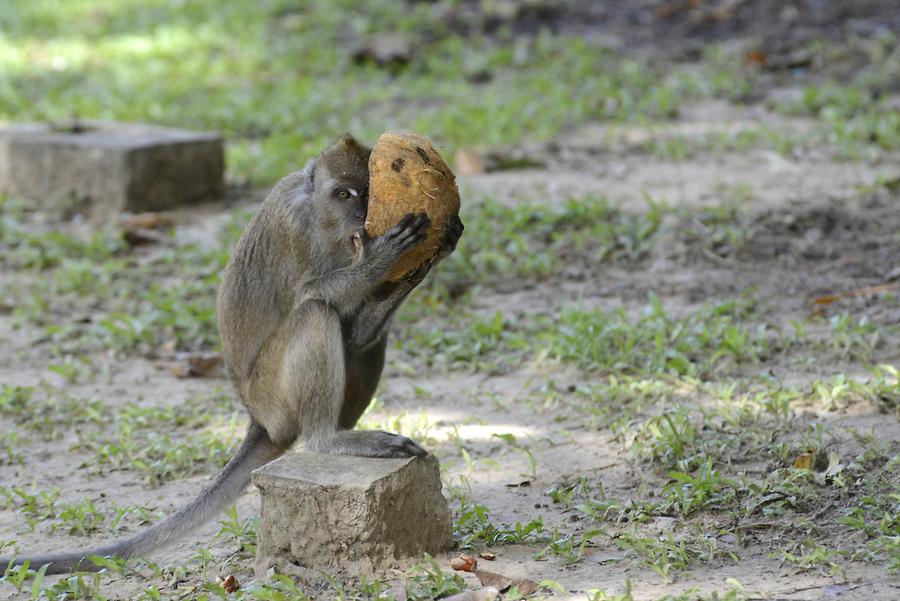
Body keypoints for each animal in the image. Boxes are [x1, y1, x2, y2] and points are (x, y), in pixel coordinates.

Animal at [0, 134, 464, 576]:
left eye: (370, 191)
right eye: (345, 194)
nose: (361, 216)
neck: (325, 220)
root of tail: (259, 419)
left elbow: (350, 318)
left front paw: (440, 244)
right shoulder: (294, 225)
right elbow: (311, 295)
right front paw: (380, 259)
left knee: (363, 337)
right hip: (272, 394)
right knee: (315, 314)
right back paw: (327, 438)